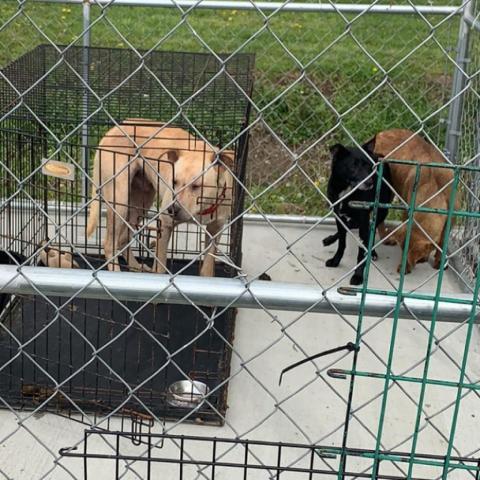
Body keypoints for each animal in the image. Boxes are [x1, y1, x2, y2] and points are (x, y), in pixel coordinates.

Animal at [87, 119, 235, 276]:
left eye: (196, 186)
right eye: (174, 182)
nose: (172, 209)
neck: (204, 208)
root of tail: (115, 128)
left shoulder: (215, 231)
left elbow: (207, 268)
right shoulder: (165, 225)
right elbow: (160, 267)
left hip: (140, 203)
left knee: (122, 240)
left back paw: (135, 266)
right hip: (119, 201)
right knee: (109, 244)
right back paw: (116, 272)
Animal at [322, 142, 394, 284]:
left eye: (369, 166)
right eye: (353, 166)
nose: (370, 183)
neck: (347, 191)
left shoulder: (363, 220)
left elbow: (361, 250)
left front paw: (358, 275)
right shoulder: (338, 216)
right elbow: (342, 243)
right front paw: (335, 260)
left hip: (382, 211)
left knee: (371, 230)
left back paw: (372, 252)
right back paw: (330, 239)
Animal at [372, 129, 458, 274]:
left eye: (415, 253)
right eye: (402, 249)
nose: (401, 270)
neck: (434, 190)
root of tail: (381, 133)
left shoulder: (451, 220)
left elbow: (442, 242)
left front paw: (439, 261)